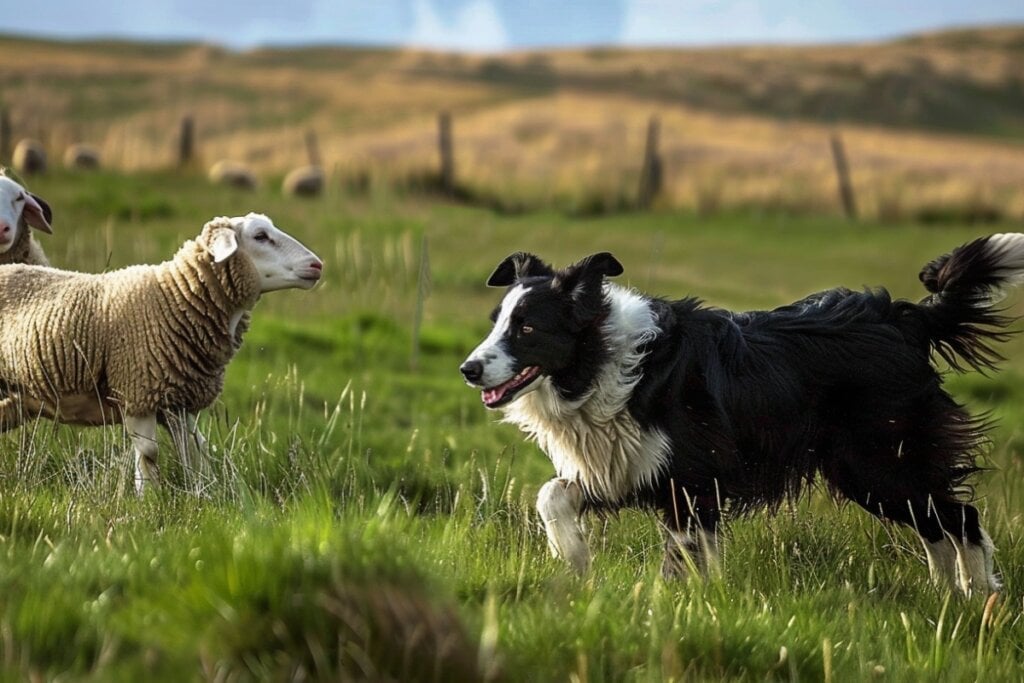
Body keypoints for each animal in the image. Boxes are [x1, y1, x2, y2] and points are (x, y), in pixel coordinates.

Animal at [0, 211, 323, 491]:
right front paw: (149, 503)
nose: (317, 265)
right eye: (260, 236)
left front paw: (203, 495)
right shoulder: (137, 390)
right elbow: (149, 453)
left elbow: (194, 452)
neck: (173, 298)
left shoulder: (177, 401)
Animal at [460, 236, 1024, 598]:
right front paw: (574, 557)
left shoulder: (692, 478)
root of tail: (906, 318)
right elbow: (551, 494)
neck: (602, 363)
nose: (468, 369)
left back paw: (980, 597)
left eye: (527, 328)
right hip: (871, 472)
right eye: (497, 322)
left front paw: (674, 606)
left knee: (962, 517)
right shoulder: (624, 463)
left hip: (879, 460)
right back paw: (944, 596)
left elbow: (682, 556)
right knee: (934, 525)